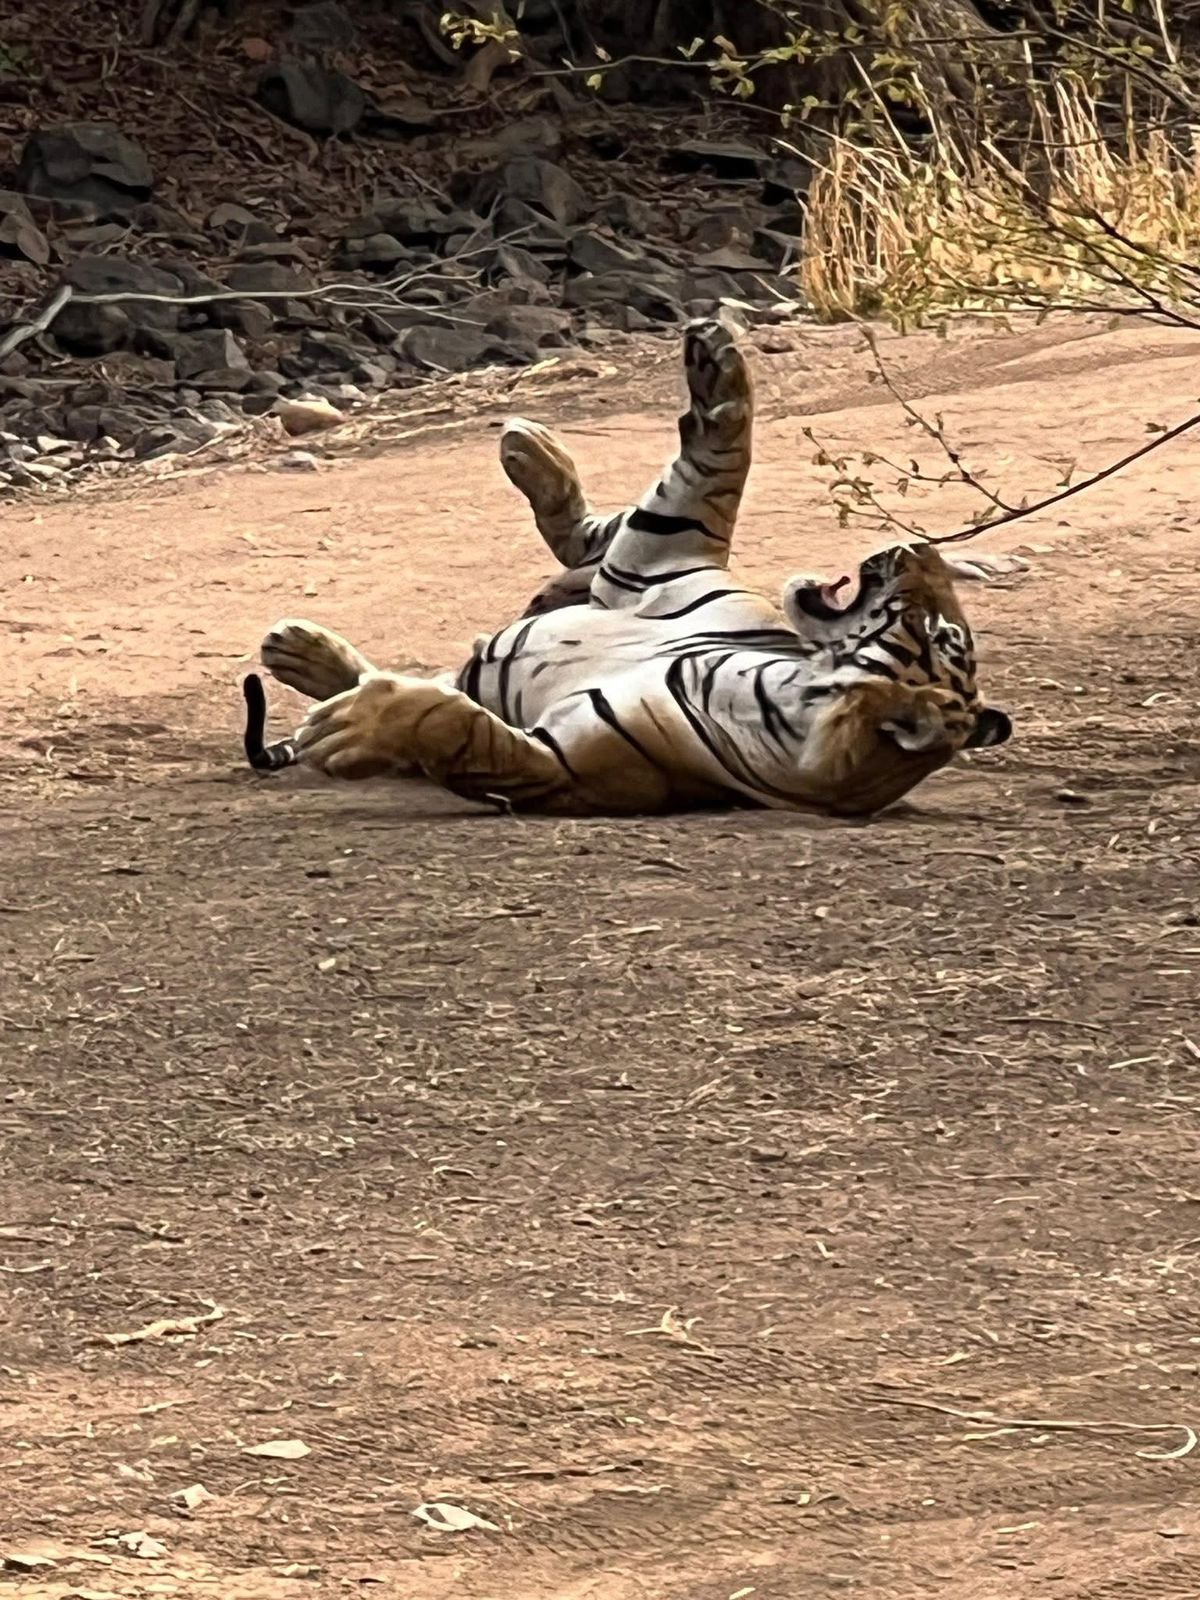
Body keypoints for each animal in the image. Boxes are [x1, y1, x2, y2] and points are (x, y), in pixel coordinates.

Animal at [242, 317, 1012, 818]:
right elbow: (717, 468)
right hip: (636, 570)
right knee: (596, 534)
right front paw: (719, 363)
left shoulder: (560, 769)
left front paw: (354, 728)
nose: (916, 548)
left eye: (944, 635)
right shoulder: (680, 561)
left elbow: (456, 727)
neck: (787, 687)